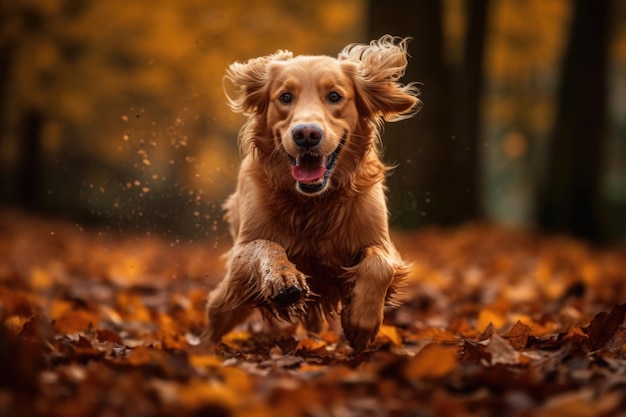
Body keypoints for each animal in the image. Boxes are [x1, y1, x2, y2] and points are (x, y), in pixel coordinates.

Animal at [205, 35, 420, 350]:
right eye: (285, 97)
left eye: (334, 96)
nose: (306, 134)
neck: (314, 202)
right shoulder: (241, 252)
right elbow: (266, 245)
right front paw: (283, 279)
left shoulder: (381, 242)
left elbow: (379, 265)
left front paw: (361, 322)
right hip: (229, 296)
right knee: (214, 312)